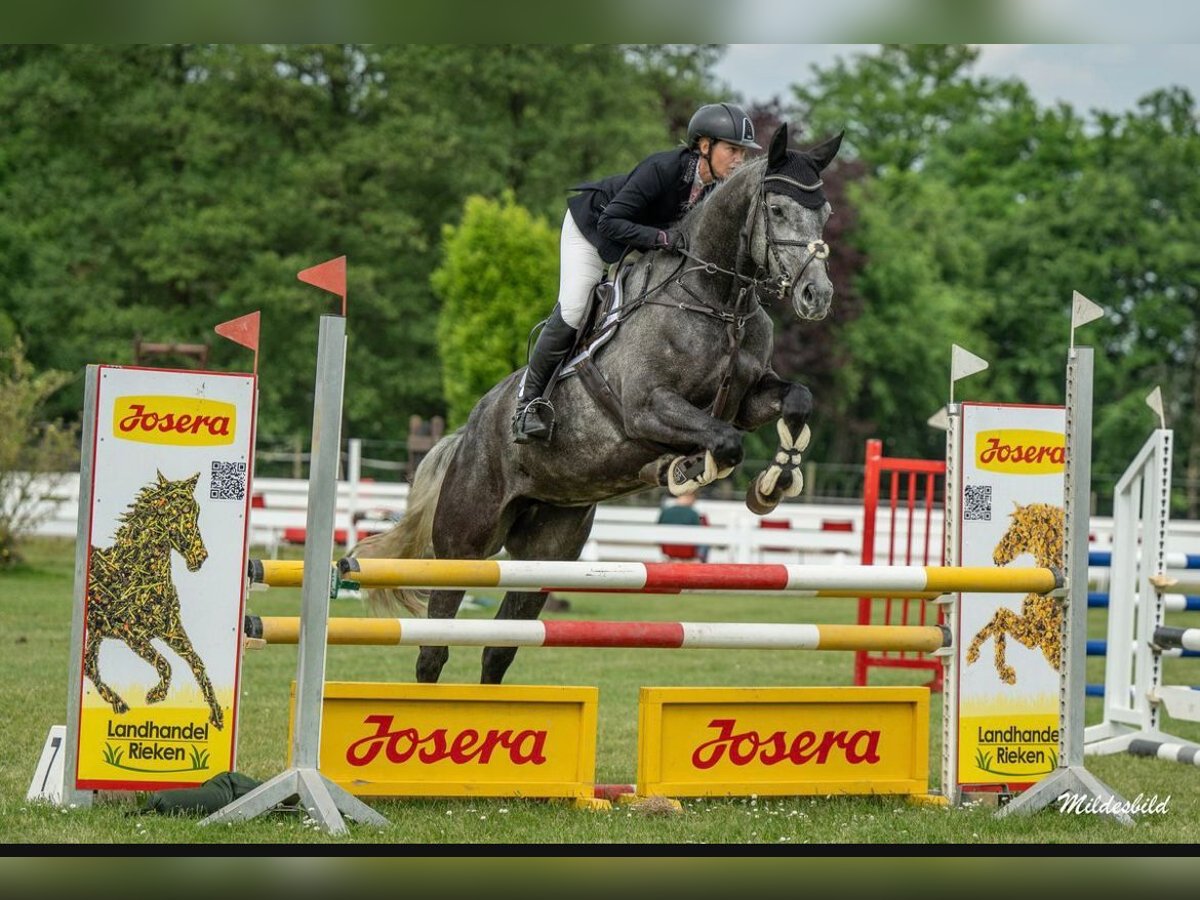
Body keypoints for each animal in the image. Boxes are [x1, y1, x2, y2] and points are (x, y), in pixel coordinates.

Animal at [352, 125, 844, 681]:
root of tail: (465, 434)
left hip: (547, 551)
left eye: (826, 213)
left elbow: (795, 401)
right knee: (434, 648)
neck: (717, 300)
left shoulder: (747, 397)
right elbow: (725, 441)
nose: (817, 296)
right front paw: (684, 469)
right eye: (777, 210)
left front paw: (774, 481)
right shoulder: (647, 407)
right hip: (465, 544)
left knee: (498, 648)